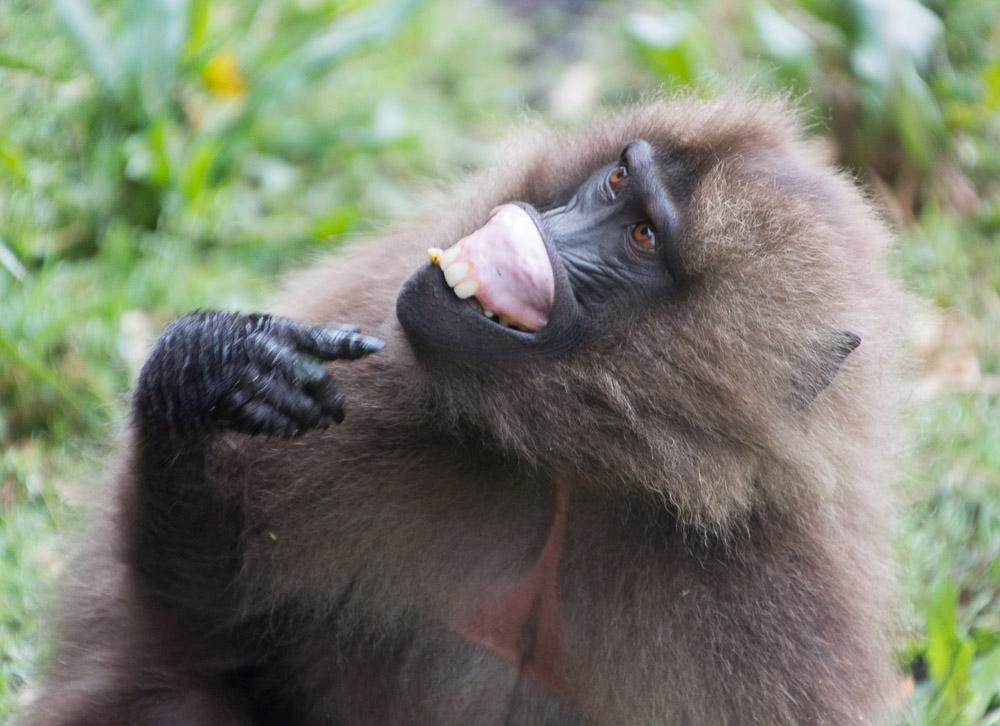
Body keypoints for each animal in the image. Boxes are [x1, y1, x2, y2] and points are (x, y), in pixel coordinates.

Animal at [20, 93, 911, 726]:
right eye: (615, 179)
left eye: (644, 239)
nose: (535, 224)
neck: (579, 469)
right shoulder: (377, 350)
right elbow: (197, 625)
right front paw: (207, 375)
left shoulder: (779, 597)